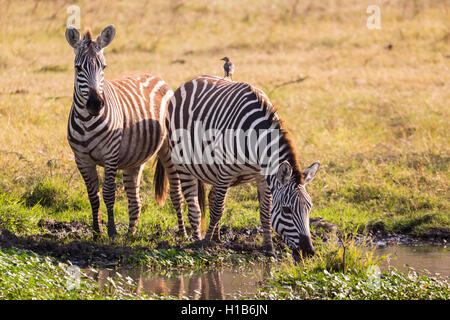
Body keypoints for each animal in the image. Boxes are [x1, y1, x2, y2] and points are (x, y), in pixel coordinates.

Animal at [66, 25, 173, 238]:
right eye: (78, 68)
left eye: (104, 67)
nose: (95, 104)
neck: (86, 122)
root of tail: (157, 77)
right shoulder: (81, 159)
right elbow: (93, 196)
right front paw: (97, 232)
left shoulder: (110, 155)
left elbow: (108, 193)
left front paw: (112, 232)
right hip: (135, 159)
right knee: (136, 199)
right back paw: (131, 234)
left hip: (168, 150)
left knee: (178, 192)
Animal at [155, 74, 320, 258]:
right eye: (286, 210)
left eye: (309, 207)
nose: (308, 251)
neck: (256, 141)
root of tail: (190, 82)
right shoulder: (225, 172)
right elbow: (217, 210)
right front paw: (205, 243)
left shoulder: (262, 176)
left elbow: (265, 213)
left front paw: (269, 248)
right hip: (182, 163)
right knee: (193, 206)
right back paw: (196, 239)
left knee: (211, 197)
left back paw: (217, 238)